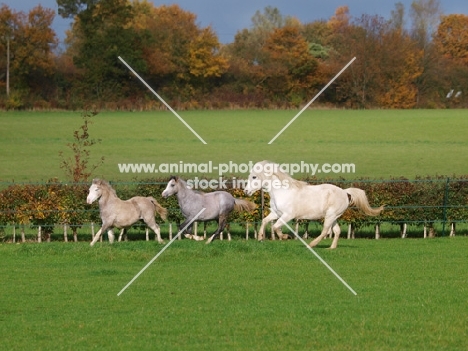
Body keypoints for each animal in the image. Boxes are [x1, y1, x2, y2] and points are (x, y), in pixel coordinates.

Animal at [243, 161, 382, 249]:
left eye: (254, 177)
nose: (246, 191)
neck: (282, 191)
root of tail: (345, 192)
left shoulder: (288, 215)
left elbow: (276, 227)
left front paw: (286, 236)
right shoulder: (276, 213)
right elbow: (265, 221)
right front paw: (260, 237)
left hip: (330, 216)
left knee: (325, 231)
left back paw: (311, 245)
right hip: (334, 217)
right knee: (336, 231)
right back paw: (331, 248)